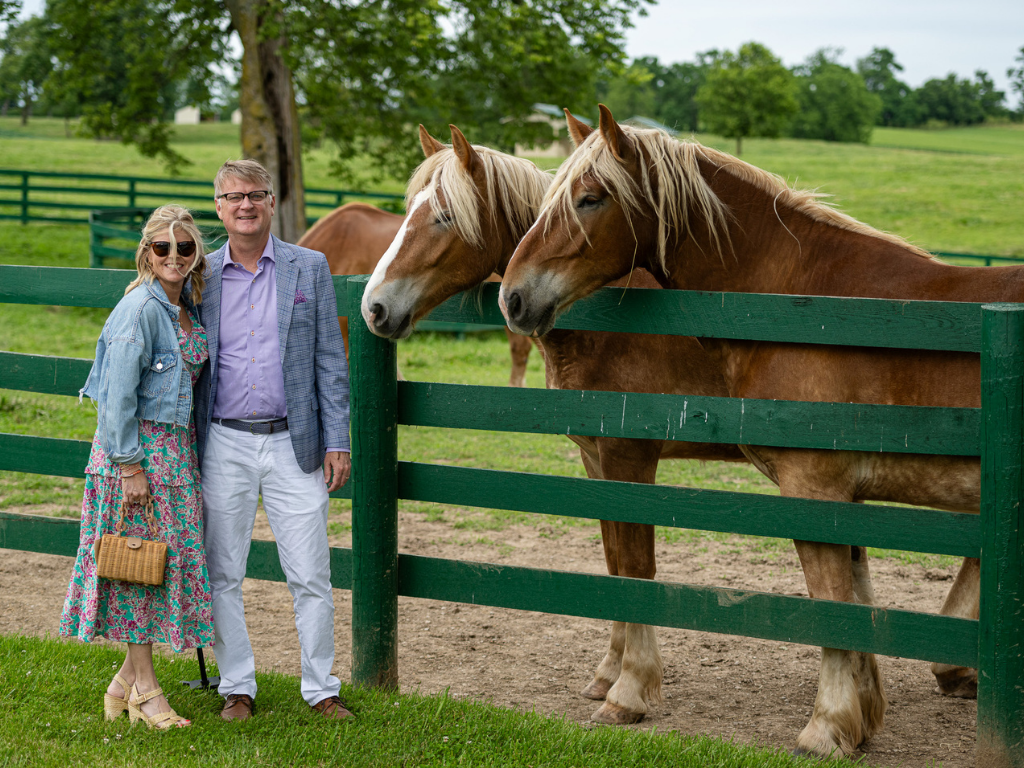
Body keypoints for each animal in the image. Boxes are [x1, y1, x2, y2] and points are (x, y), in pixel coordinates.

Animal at [364, 124, 749, 729]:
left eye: (445, 215)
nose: (373, 308)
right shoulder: (596, 458)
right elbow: (614, 561)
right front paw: (607, 675)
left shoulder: (629, 457)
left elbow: (636, 565)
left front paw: (630, 693)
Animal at [499, 105, 1003, 761]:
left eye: (590, 198)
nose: (512, 297)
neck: (810, 306)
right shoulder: (846, 498)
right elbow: (856, 602)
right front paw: (861, 720)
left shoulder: (814, 489)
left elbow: (832, 606)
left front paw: (826, 729)